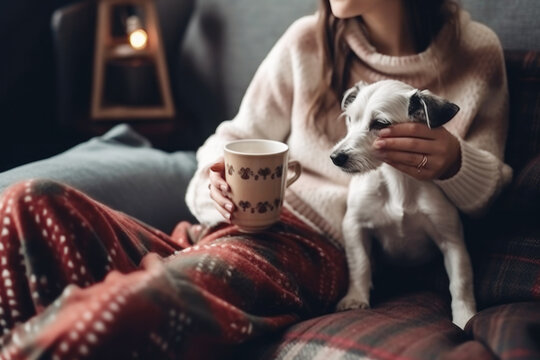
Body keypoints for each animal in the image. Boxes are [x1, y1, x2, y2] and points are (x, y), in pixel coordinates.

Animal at [330, 79, 476, 330]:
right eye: (350, 118)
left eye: (380, 124)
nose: (336, 157)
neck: (396, 179)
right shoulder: (354, 226)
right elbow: (360, 264)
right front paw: (356, 298)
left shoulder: (452, 241)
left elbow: (461, 281)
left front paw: (464, 317)